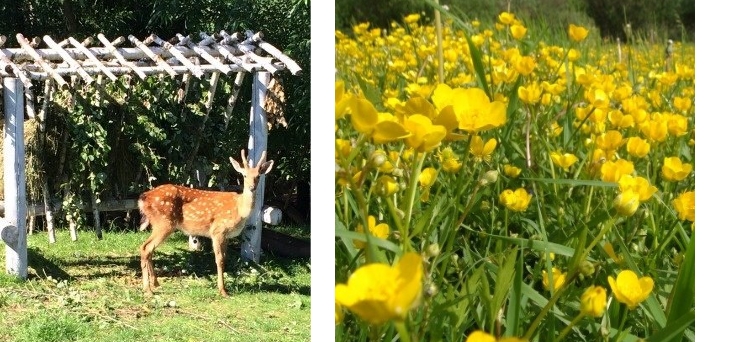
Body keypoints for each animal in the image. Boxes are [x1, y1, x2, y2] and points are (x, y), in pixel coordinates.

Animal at [136, 150, 272, 296]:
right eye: (244, 175)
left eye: (258, 176)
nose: (252, 187)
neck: (240, 209)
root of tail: (143, 198)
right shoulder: (218, 230)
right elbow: (219, 260)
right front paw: (222, 290)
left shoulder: (227, 236)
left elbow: (225, 258)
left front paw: (224, 288)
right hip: (164, 223)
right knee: (146, 248)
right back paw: (148, 289)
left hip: (158, 224)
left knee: (148, 249)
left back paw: (155, 283)